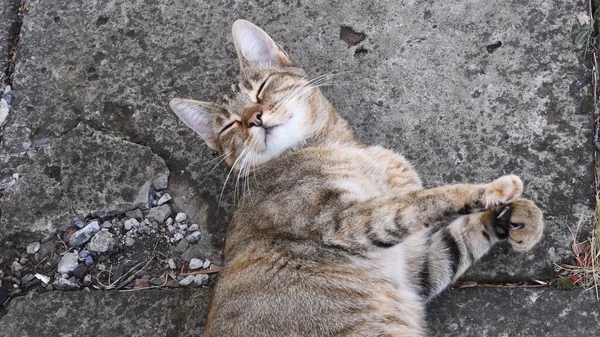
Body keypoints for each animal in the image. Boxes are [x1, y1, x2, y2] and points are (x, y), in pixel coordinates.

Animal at [168, 19, 544, 336]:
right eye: (231, 125)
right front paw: (493, 190)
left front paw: (515, 217)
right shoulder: (344, 222)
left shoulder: (416, 267)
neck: (341, 147)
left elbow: (459, 238)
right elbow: (421, 201)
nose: (254, 118)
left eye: (261, 88)